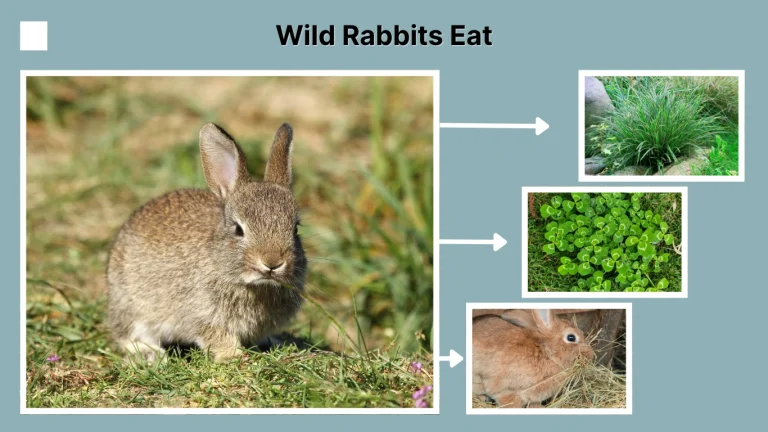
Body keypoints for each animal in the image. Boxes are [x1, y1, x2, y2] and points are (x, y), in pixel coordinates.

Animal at [106, 122, 307, 362]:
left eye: (295, 229)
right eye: (238, 229)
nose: (272, 263)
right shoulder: (202, 314)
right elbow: (216, 335)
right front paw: (233, 356)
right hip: (131, 305)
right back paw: (150, 354)